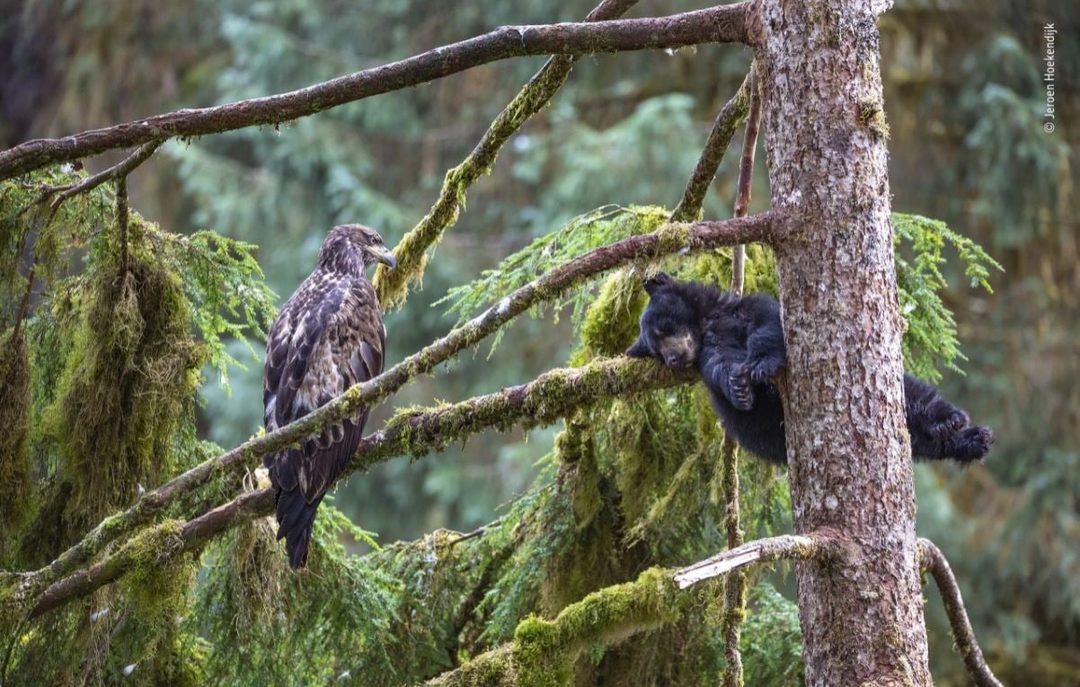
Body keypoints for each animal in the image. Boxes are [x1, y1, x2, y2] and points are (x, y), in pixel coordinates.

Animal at [625, 273, 993, 465]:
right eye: (656, 352)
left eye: (664, 328)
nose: (673, 359)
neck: (709, 323)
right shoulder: (709, 353)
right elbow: (719, 368)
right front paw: (739, 388)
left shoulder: (742, 310)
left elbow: (767, 323)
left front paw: (760, 366)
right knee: (918, 440)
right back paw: (968, 441)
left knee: (914, 398)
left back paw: (954, 423)